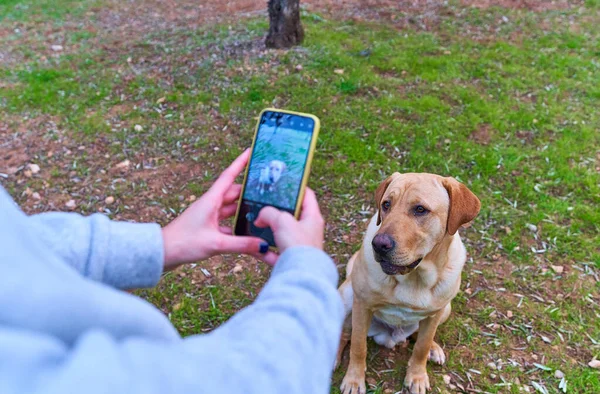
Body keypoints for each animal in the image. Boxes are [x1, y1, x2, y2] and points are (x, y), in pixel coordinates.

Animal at [336, 172, 480, 394]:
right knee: (344, 333)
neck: (415, 278)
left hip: (446, 310)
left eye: (420, 209)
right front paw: (353, 380)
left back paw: (434, 349)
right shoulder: (362, 305)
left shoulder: (435, 314)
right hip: (346, 298)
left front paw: (417, 376)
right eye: (386, 204)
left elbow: (421, 346)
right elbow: (358, 347)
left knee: (420, 336)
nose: (379, 245)